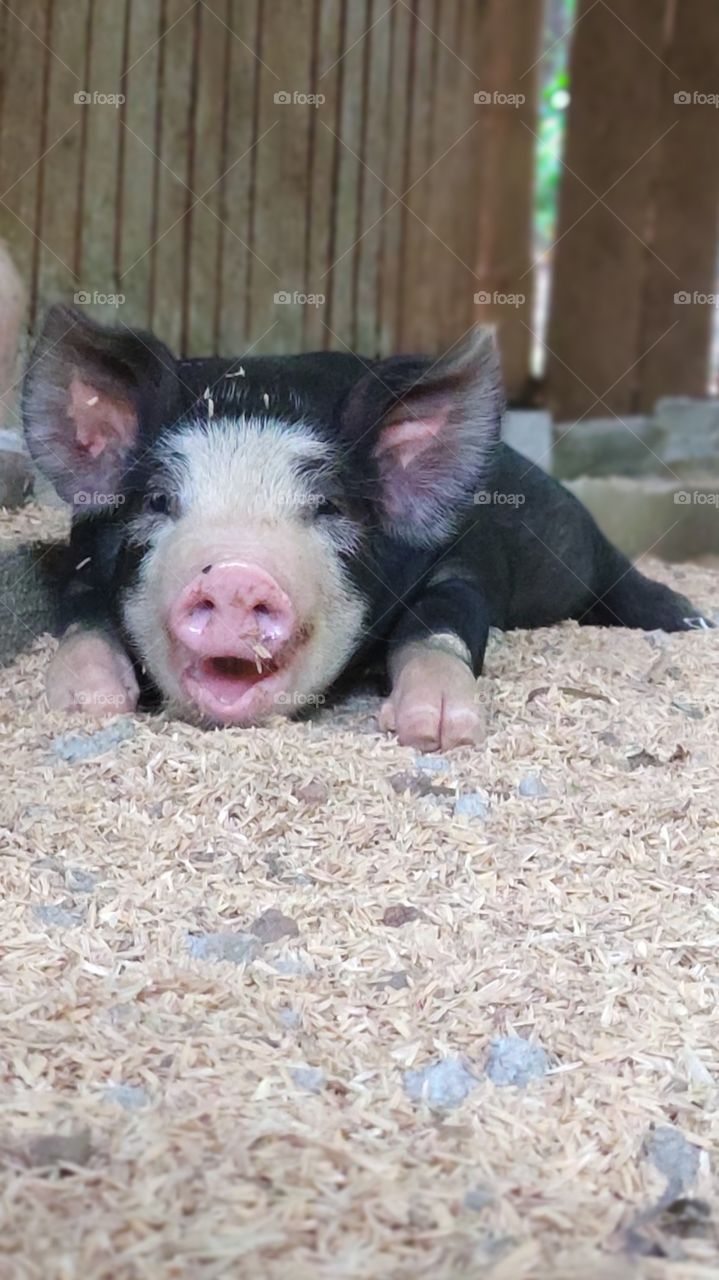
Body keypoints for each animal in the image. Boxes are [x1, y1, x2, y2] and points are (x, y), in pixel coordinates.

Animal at [22, 304, 707, 751]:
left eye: (328, 506)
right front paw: (88, 703)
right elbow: (82, 617)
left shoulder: (463, 562)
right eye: (161, 499)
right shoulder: (84, 557)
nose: (236, 575)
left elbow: (441, 626)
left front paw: (435, 728)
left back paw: (694, 620)